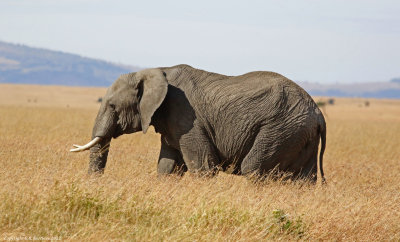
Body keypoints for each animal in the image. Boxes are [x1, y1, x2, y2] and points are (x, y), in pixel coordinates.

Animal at [70, 65, 326, 182]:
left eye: (113, 106)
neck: (155, 71)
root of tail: (318, 114)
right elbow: (167, 167)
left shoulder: (186, 118)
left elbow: (203, 167)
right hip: (299, 133)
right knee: (304, 180)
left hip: (280, 129)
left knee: (253, 168)